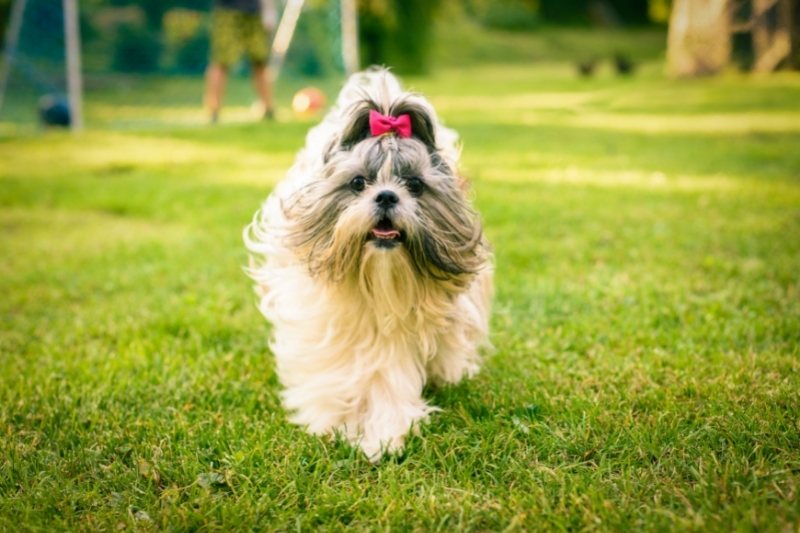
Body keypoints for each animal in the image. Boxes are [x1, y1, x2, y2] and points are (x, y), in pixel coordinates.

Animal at [244, 66, 494, 458]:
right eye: (358, 182)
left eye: (415, 185)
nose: (387, 195)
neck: (379, 283)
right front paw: (335, 422)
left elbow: (389, 381)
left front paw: (384, 435)